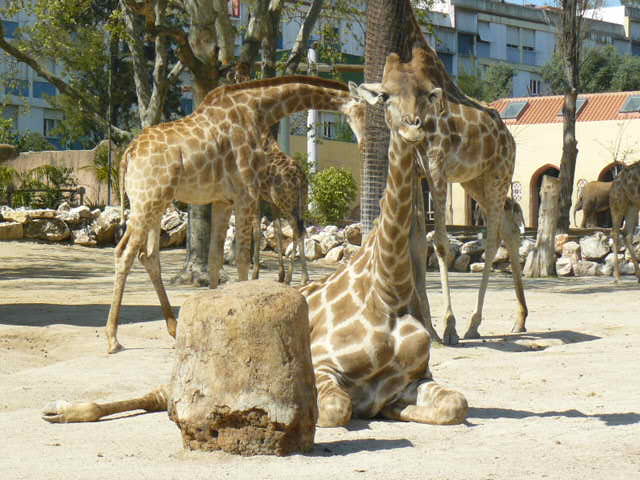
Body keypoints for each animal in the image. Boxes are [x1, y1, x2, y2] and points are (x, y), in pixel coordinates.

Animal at [107, 75, 365, 354]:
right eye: (366, 109)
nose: (365, 145)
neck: (259, 111)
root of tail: (127, 155)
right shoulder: (247, 194)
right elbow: (242, 256)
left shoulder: (223, 200)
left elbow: (215, 259)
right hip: (146, 201)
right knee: (124, 253)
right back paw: (112, 338)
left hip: (155, 203)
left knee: (149, 255)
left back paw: (173, 328)